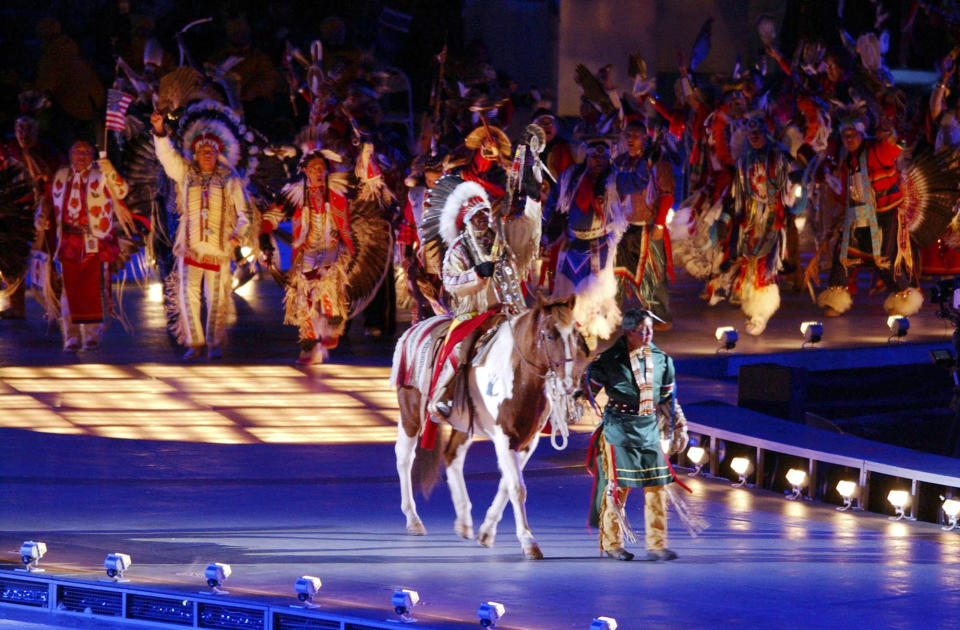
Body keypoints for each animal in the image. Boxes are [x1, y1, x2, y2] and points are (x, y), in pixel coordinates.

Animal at [390, 294, 584, 560]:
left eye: (575, 334)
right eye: (549, 335)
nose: (569, 384)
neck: (517, 374)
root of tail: (412, 330)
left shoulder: (527, 441)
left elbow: (506, 485)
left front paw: (487, 532)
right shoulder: (504, 437)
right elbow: (516, 487)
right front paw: (529, 542)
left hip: (463, 425)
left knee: (452, 458)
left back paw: (464, 521)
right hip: (410, 414)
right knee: (404, 458)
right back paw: (413, 519)